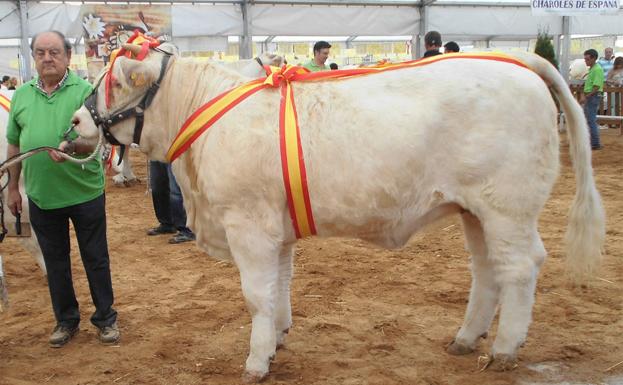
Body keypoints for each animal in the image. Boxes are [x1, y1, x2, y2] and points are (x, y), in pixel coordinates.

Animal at [70, 45, 608, 380]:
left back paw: (503, 350)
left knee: (519, 268)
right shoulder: (275, 229)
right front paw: (277, 340)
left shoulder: (248, 226)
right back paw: (466, 338)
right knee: (486, 271)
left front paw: (256, 362)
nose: (75, 121)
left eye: (111, 84)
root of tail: (517, 61)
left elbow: (257, 296)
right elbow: (279, 288)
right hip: (473, 210)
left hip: (507, 207)